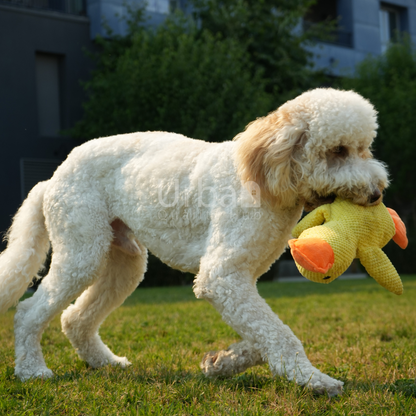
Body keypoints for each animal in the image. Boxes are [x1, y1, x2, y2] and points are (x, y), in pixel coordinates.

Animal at [1, 89, 388, 394]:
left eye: (364, 149)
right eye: (337, 151)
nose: (376, 194)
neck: (264, 174)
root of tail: (53, 178)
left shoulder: (240, 280)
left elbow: (263, 333)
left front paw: (221, 362)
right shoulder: (222, 276)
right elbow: (279, 334)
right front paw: (313, 379)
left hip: (124, 262)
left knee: (74, 318)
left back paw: (104, 362)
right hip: (82, 250)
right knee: (29, 311)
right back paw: (32, 370)